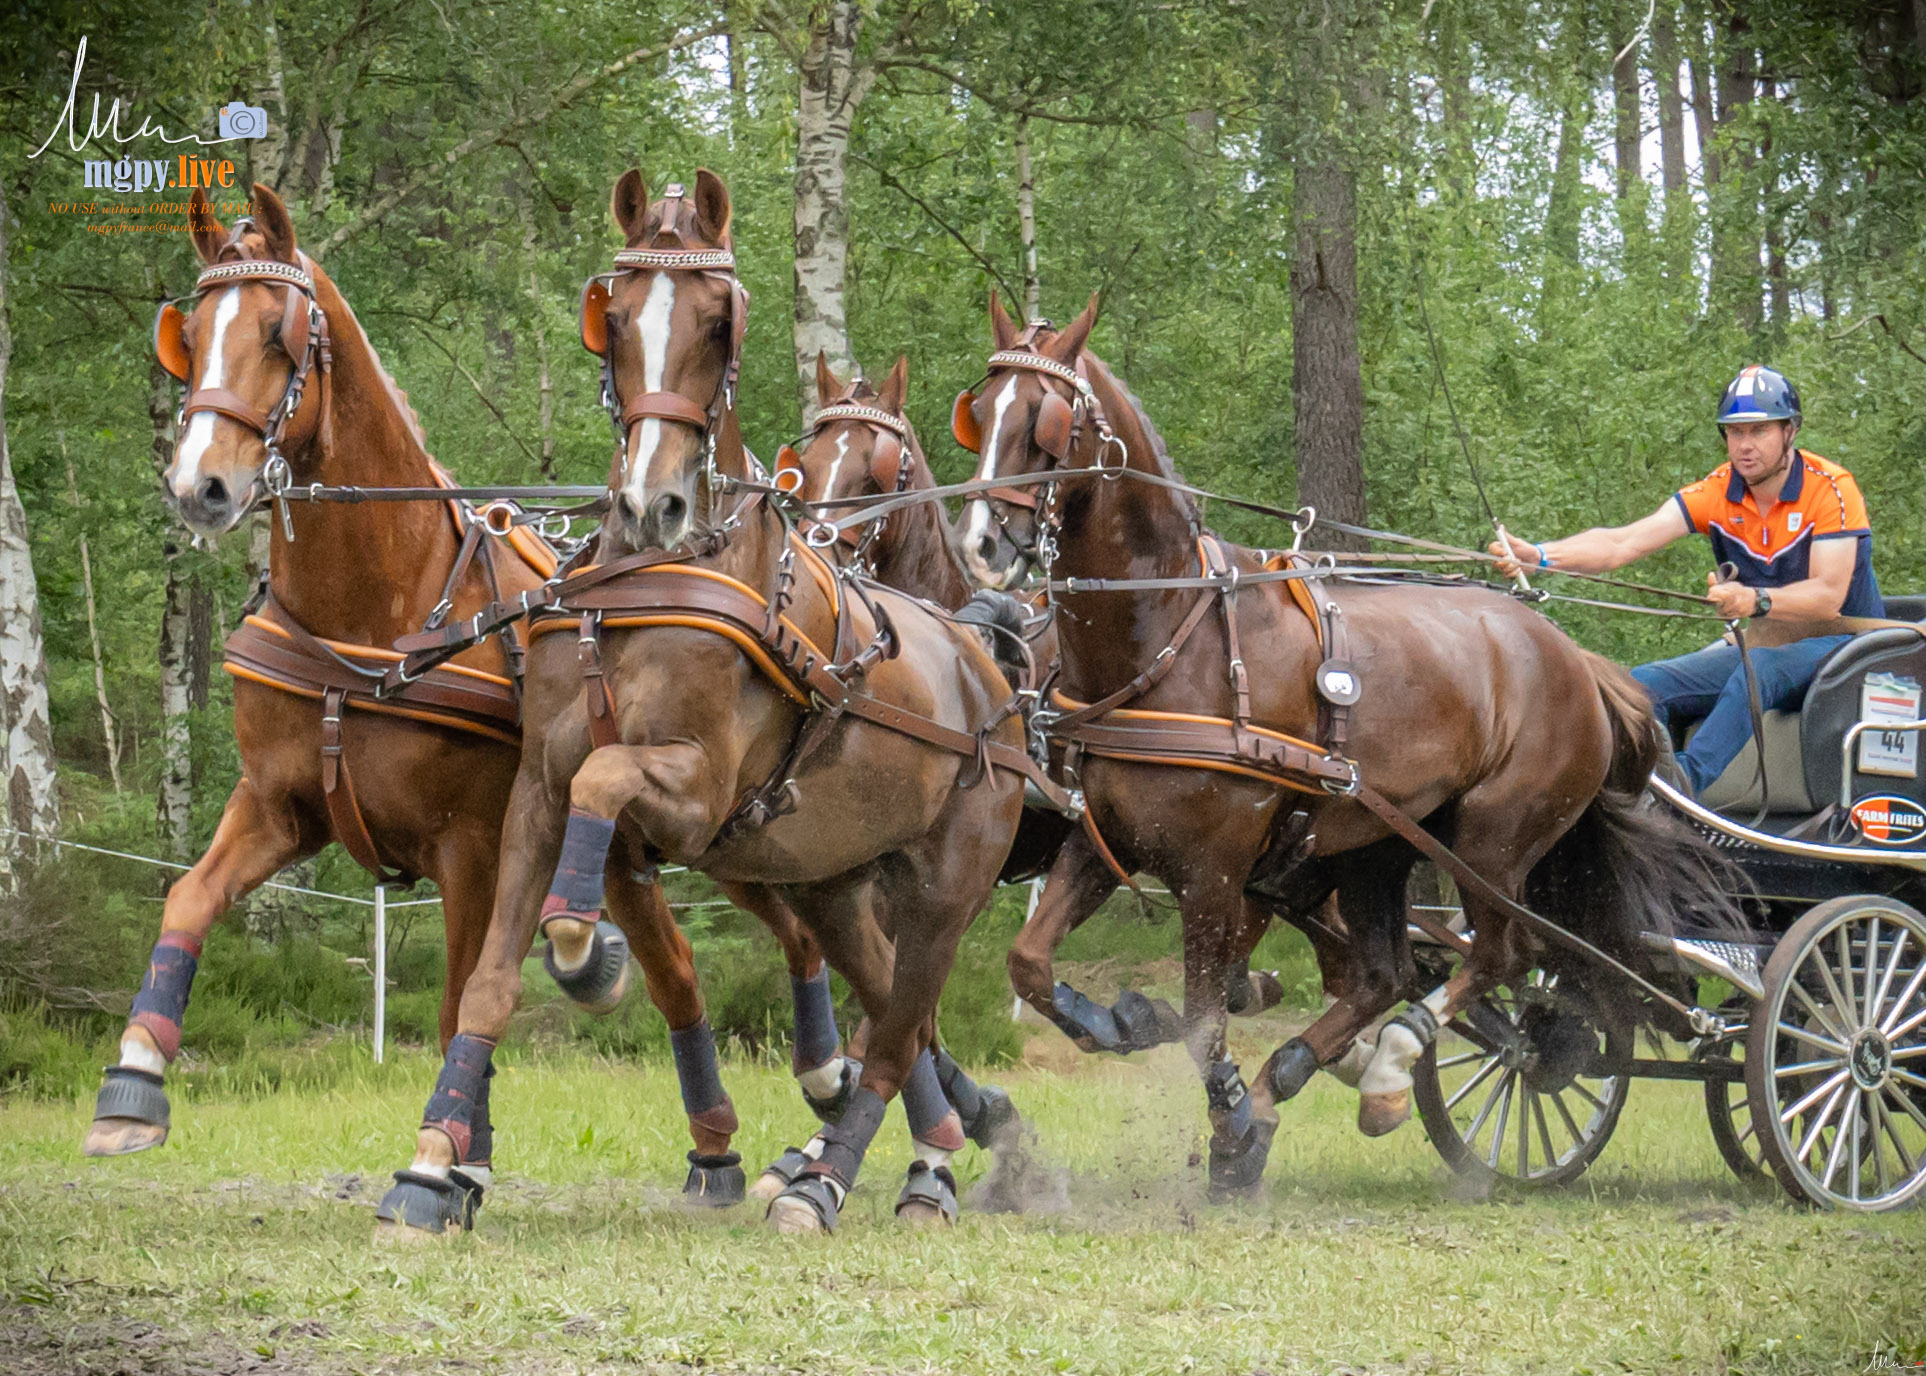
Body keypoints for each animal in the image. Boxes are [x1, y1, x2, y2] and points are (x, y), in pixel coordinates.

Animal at [101, 183, 857, 1218]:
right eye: (190, 333)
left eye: (277, 334)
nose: (200, 484)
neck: (377, 617)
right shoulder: (278, 807)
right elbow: (187, 898)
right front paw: (133, 1080)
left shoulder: (467, 847)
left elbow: (464, 994)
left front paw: (453, 1159)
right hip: (644, 849)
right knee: (680, 968)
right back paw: (715, 1149)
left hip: (726, 830)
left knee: (786, 935)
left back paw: (822, 1084)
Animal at [376, 170, 1034, 1237]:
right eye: (612, 317)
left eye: (722, 320)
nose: (654, 503)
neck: (648, 583)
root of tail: (990, 670)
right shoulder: (533, 793)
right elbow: (487, 981)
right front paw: (434, 1165)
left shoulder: (696, 791)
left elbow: (606, 785)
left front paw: (583, 949)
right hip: (836, 882)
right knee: (894, 1006)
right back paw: (920, 1153)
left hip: (948, 888)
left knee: (899, 1032)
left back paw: (825, 1180)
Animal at [955, 293, 1731, 1194]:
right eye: (981, 412)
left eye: (1046, 424)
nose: (980, 544)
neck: (1173, 639)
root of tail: (1575, 658)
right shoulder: (1104, 839)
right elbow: (1033, 965)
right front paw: (1120, 1024)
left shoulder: (1216, 874)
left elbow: (1203, 1019)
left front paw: (1230, 1127)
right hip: (1376, 849)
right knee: (1386, 973)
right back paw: (1296, 1070)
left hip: (1492, 842)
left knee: (1502, 953)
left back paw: (1389, 1066)